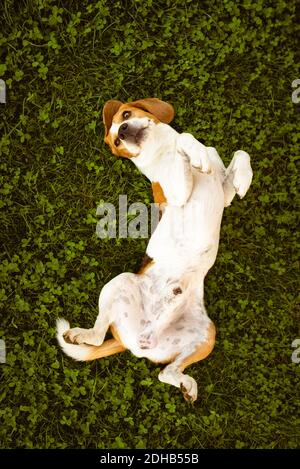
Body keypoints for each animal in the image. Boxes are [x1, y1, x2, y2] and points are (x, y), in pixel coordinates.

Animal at [56, 97, 253, 400]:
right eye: (116, 140)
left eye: (126, 114)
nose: (123, 130)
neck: (163, 151)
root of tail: (136, 342)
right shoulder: (177, 194)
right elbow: (186, 139)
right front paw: (194, 153)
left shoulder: (225, 195)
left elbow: (241, 154)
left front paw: (243, 177)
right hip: (119, 282)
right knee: (98, 336)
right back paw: (81, 334)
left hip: (208, 335)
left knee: (165, 373)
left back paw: (185, 384)